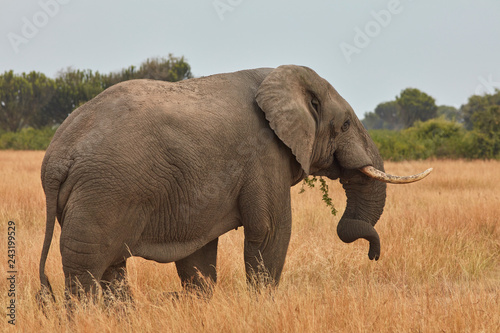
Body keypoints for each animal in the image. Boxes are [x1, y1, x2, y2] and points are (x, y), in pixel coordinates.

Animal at [37, 65, 432, 300]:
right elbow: (271, 231)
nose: (373, 255)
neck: (278, 79)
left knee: (111, 269)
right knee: (87, 269)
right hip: (103, 194)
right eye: (346, 124)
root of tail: (57, 157)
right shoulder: (264, 154)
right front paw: (264, 306)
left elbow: (199, 255)